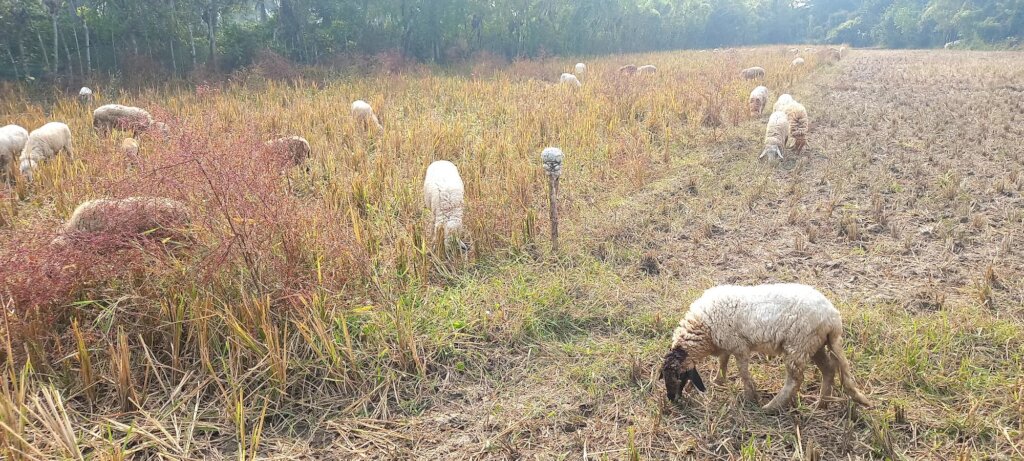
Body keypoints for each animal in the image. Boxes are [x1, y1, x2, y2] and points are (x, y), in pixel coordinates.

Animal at [660, 283, 872, 412]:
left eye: (679, 377)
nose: (671, 399)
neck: (703, 328)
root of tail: (833, 318)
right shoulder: (727, 344)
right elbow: (723, 362)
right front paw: (718, 381)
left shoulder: (739, 346)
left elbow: (743, 372)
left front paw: (750, 397)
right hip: (814, 344)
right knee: (829, 369)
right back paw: (821, 404)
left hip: (798, 345)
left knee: (795, 380)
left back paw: (771, 407)